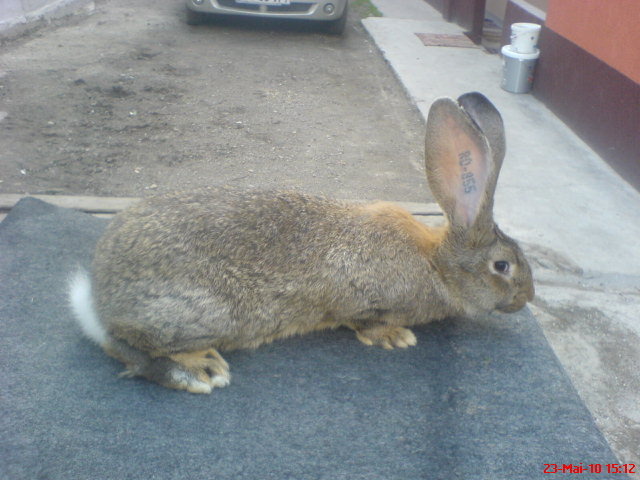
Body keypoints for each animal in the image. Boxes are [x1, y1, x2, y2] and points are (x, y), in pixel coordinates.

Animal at [69, 92, 536, 392]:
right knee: (128, 346)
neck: (436, 263)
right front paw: (394, 338)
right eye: (502, 266)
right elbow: (361, 321)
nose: (526, 299)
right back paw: (200, 370)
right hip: (201, 313)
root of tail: (99, 299)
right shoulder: (361, 298)